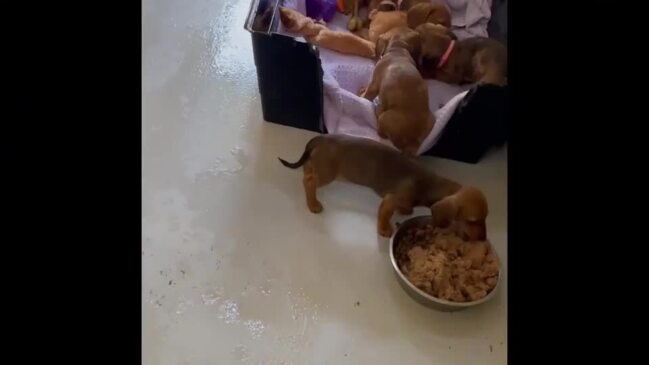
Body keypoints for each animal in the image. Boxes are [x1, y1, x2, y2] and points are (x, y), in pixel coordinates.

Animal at [278, 134, 486, 239]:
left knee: (307, 172)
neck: (428, 184)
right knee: (309, 182)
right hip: (328, 174)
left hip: (318, 166)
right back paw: (313, 203)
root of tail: (321, 138)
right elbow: (385, 214)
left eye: (486, 218)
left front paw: (405, 211)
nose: (483, 239)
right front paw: (384, 230)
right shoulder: (390, 200)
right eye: (472, 220)